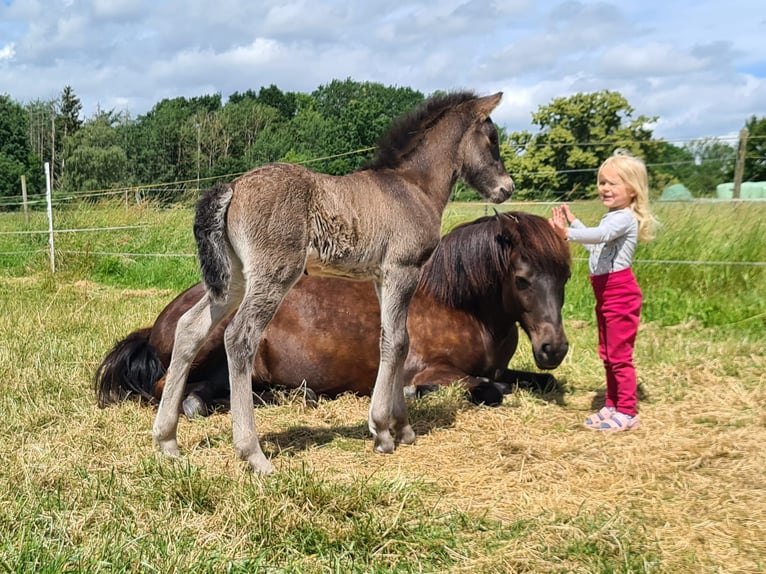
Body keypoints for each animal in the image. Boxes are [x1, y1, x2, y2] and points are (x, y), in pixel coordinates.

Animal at [94, 210, 568, 414]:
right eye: (523, 279)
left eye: (564, 275)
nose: (554, 348)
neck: (454, 304)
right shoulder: (428, 370)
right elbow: (485, 388)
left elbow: (536, 381)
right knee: (169, 388)